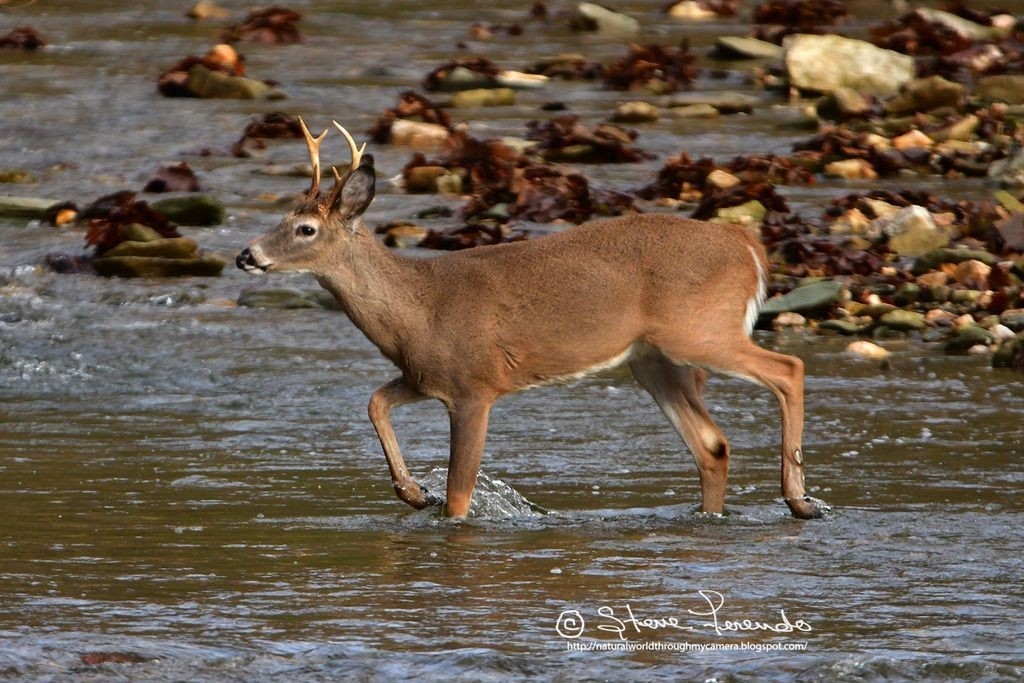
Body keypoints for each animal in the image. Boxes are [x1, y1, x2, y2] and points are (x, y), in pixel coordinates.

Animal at [235, 120, 827, 520]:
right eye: (283, 218)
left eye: (306, 228)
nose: (246, 254)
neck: (418, 309)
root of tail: (747, 245)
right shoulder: (425, 375)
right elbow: (375, 401)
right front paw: (411, 491)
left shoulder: (476, 385)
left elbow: (460, 492)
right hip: (653, 360)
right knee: (712, 443)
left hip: (700, 329)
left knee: (789, 369)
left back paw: (798, 498)